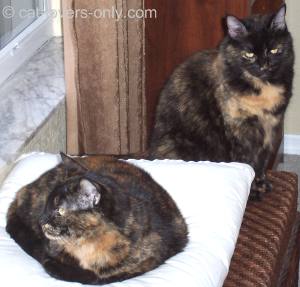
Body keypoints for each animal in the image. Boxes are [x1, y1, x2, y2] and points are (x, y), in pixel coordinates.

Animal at [149, 4, 294, 199]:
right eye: (249, 54)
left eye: (273, 50)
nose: (264, 66)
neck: (263, 89)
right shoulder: (239, 129)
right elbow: (247, 162)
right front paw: (251, 191)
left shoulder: (270, 128)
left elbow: (261, 161)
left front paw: (262, 183)